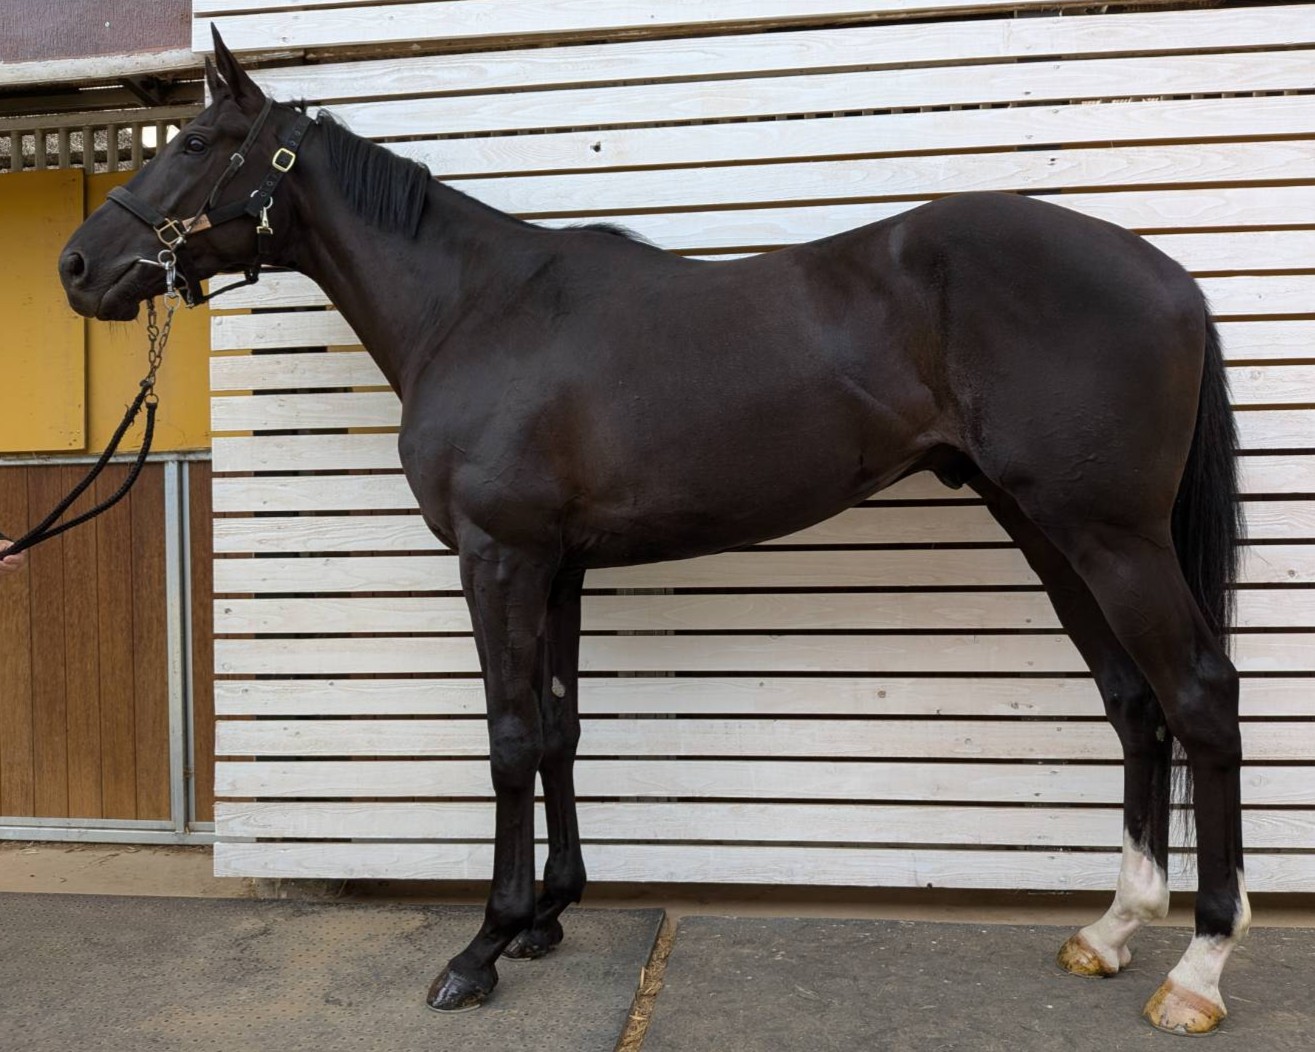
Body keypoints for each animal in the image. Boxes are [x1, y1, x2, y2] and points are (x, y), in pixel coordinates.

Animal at [59, 29, 1249, 1035]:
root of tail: (1170, 279)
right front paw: (548, 915)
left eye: (198, 144)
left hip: (1110, 535)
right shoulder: (558, 567)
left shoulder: (498, 557)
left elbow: (506, 738)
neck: (476, 309)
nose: (77, 267)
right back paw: (1112, 928)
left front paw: (483, 945)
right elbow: (558, 729)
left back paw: (1197, 969)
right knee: (1133, 700)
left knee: (1197, 694)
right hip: (1046, 525)